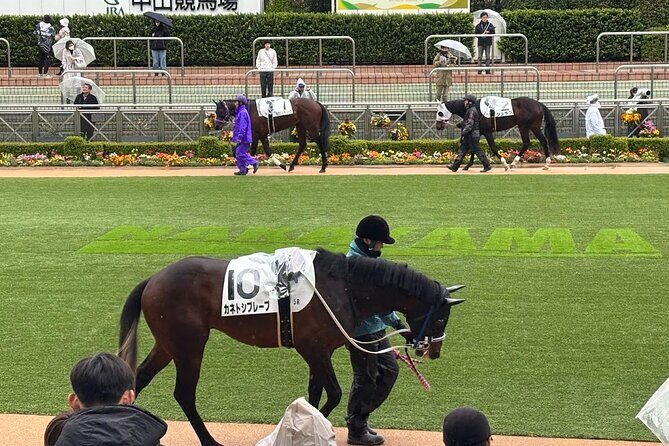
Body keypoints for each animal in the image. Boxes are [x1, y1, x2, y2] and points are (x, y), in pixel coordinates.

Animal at [118, 248, 464, 446]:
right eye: (440, 318)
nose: (432, 351)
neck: (344, 286)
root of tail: (154, 278)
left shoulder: (317, 352)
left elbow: (315, 394)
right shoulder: (314, 349)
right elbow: (333, 394)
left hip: (168, 345)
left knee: (139, 377)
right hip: (189, 347)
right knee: (184, 394)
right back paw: (210, 441)